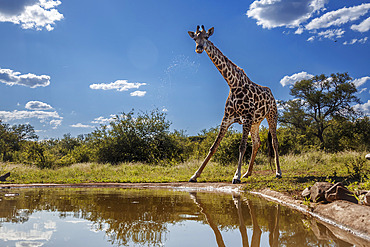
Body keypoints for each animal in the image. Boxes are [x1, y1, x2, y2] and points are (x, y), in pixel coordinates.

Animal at [189, 25, 282, 183]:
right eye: (195, 38)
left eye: (206, 37)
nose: (199, 48)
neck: (233, 84)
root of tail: (271, 94)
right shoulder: (226, 118)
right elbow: (213, 147)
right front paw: (195, 175)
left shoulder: (246, 118)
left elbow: (242, 146)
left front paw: (236, 176)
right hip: (256, 122)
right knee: (257, 142)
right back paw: (248, 173)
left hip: (271, 115)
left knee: (274, 142)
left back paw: (278, 172)